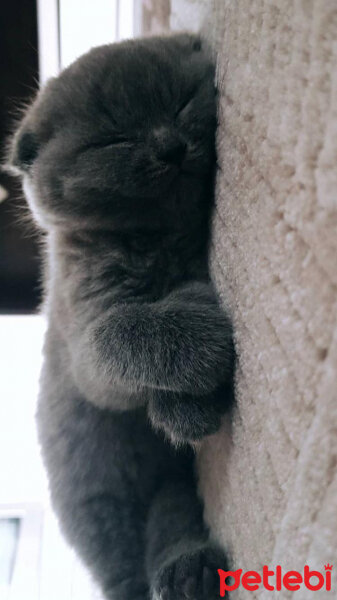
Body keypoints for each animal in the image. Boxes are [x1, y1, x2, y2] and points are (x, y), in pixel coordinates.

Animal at [8, 35, 234, 600]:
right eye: (113, 139)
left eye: (179, 102)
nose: (169, 147)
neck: (159, 240)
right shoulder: (82, 329)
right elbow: (118, 337)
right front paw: (202, 342)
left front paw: (187, 408)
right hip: (100, 504)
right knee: (125, 564)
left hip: (167, 494)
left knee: (172, 517)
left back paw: (190, 570)